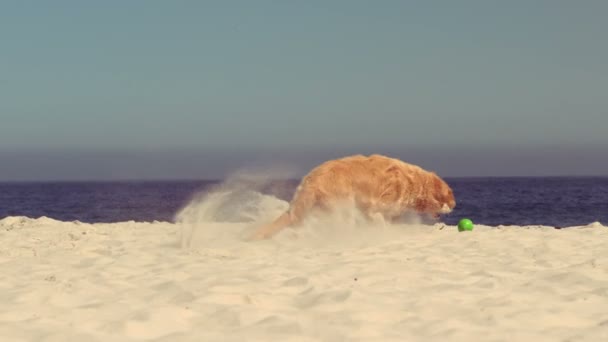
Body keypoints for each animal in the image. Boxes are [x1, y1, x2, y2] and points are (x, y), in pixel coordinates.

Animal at [249, 154, 454, 239]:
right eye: (448, 196)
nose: (454, 206)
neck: (414, 182)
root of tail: (311, 181)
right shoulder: (376, 204)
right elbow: (377, 218)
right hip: (343, 204)